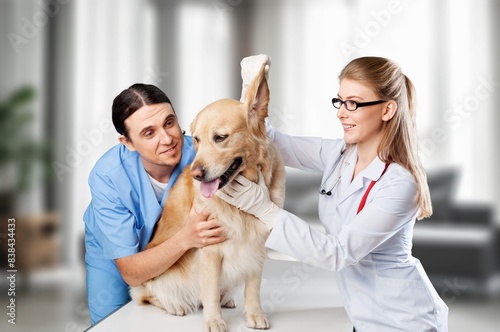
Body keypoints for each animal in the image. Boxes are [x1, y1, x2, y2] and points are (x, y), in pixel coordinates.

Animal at [129, 65, 286, 332]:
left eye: (220, 137)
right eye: (197, 139)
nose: (197, 174)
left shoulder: (257, 245)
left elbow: (253, 287)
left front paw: (254, 314)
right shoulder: (209, 249)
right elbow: (209, 291)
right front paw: (214, 321)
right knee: (147, 295)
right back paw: (175, 305)